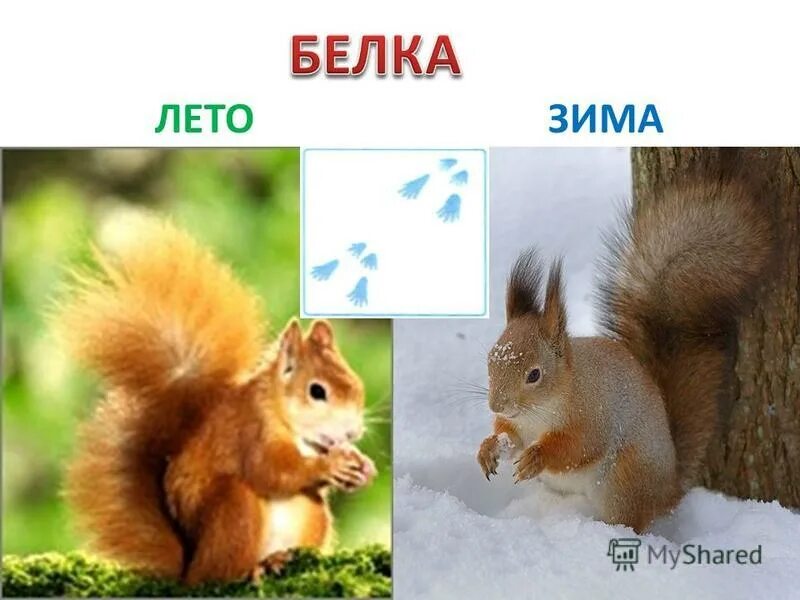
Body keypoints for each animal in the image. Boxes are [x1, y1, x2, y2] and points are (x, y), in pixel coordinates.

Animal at [58, 216, 377, 585]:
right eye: (317, 391)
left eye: (356, 384)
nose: (353, 432)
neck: (281, 413)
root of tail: (188, 567)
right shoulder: (251, 430)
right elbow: (272, 471)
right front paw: (331, 465)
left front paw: (362, 466)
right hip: (233, 510)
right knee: (218, 571)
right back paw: (252, 568)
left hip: (311, 514)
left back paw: (279, 558)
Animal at [477, 181, 774, 533]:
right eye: (489, 360)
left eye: (534, 374)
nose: (497, 405)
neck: (540, 412)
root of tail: (668, 490)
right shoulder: (518, 424)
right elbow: (509, 437)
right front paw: (489, 448)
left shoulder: (594, 416)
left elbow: (577, 448)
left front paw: (537, 458)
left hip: (625, 479)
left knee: (630, 520)